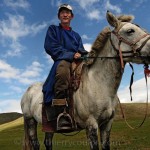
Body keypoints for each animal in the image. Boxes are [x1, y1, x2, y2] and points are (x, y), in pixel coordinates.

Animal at [20, 11, 150, 150]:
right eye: (130, 31)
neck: (99, 83)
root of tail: (27, 92)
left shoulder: (107, 124)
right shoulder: (91, 124)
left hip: (48, 124)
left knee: (48, 142)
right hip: (30, 121)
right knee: (36, 143)